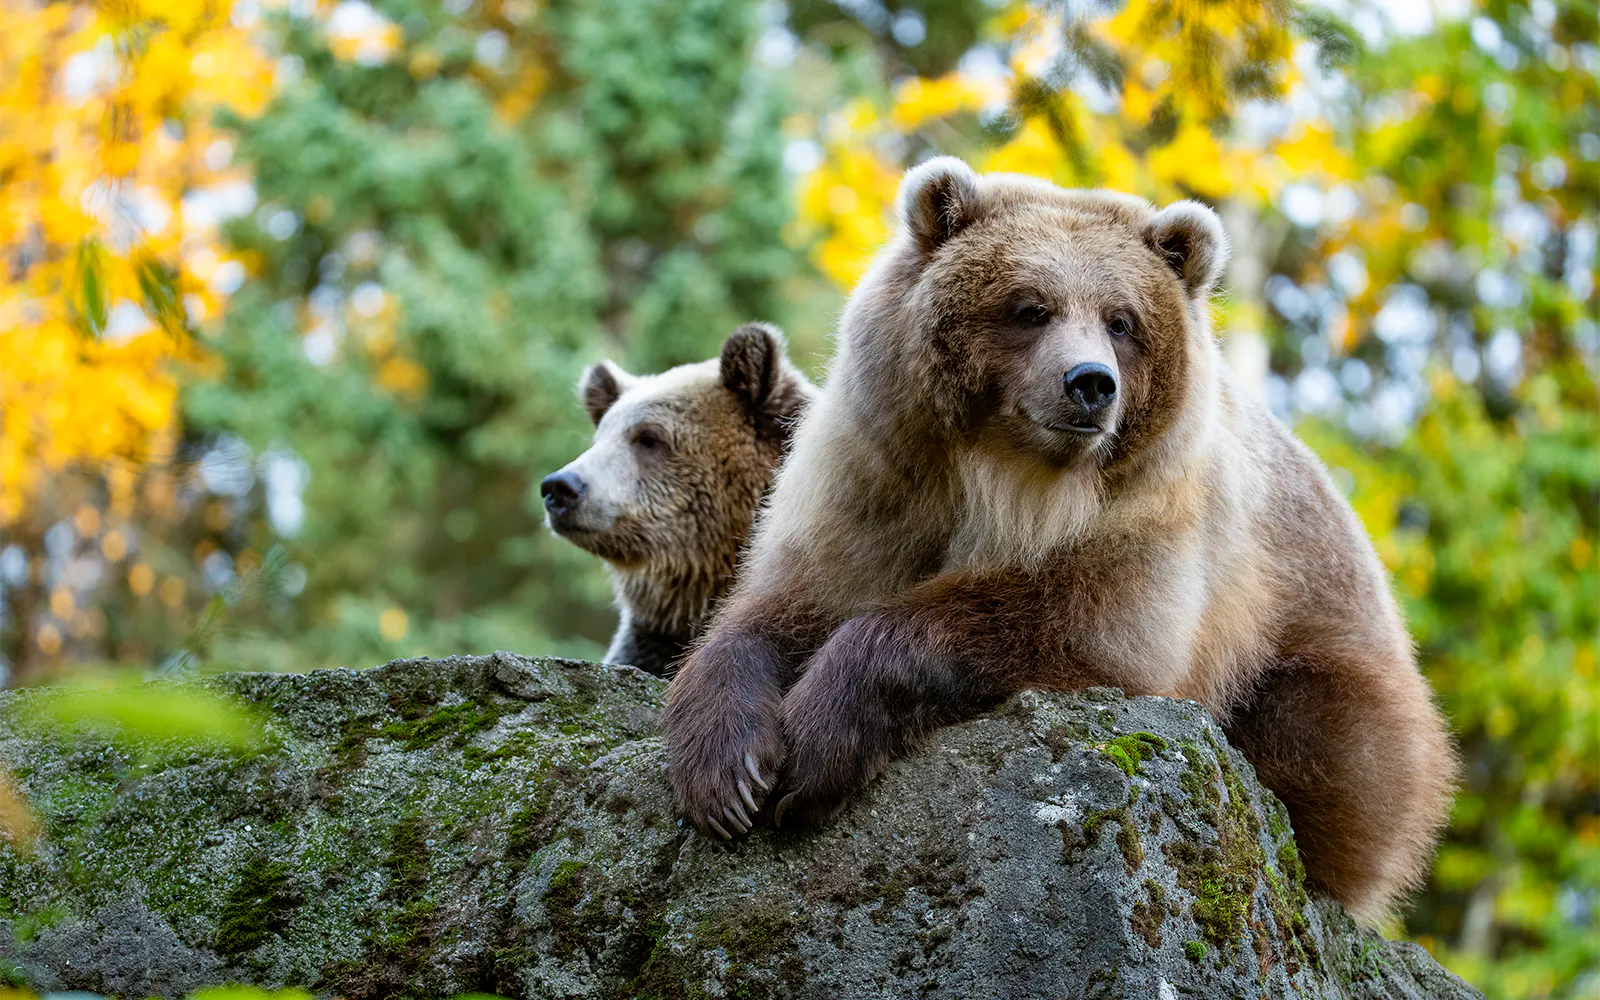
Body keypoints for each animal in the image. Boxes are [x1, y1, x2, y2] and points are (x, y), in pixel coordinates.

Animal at [660, 158, 1457, 922]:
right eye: (1030, 307)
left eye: (1122, 320)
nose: (1090, 383)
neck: (1009, 482)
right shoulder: (879, 483)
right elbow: (786, 604)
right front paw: (728, 772)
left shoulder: (1153, 523)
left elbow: (1079, 621)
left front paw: (816, 747)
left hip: (1337, 671)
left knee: (1319, 739)